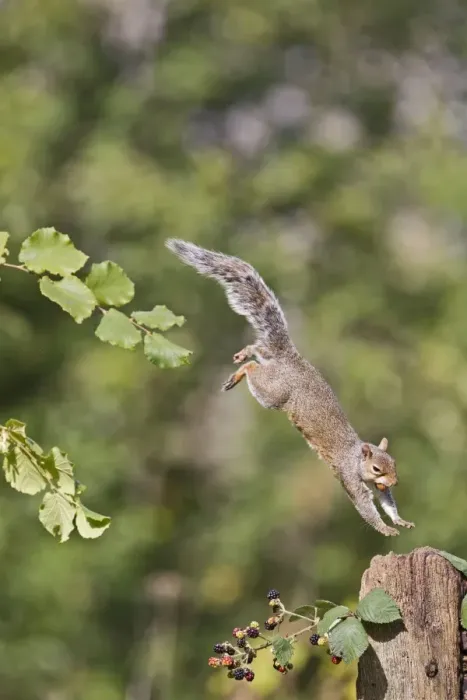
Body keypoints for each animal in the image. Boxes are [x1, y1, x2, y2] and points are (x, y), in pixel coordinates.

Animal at [166, 238, 415, 537]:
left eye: (394, 464)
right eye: (377, 468)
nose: (395, 481)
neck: (357, 459)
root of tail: (289, 359)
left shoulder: (377, 488)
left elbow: (387, 502)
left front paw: (400, 519)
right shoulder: (350, 478)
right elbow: (366, 507)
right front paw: (385, 529)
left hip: (271, 370)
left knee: (260, 350)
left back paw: (245, 353)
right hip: (273, 393)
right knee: (254, 368)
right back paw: (240, 371)